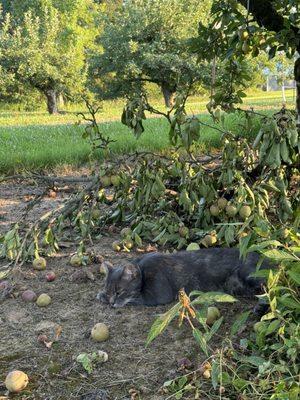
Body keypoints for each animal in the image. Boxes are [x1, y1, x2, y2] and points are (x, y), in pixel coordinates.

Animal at [97, 247, 270, 310]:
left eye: (120, 291)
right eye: (109, 291)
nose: (112, 301)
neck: (142, 269)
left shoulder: (157, 296)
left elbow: (135, 299)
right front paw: (102, 295)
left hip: (251, 275)